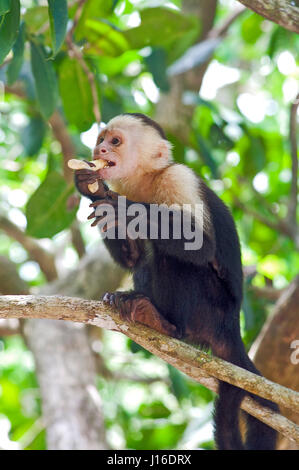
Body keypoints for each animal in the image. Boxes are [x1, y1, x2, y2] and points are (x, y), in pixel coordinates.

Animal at [74, 112, 278, 450]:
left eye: (114, 141)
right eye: (101, 139)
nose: (99, 150)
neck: (146, 181)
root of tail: (231, 325)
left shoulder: (178, 179)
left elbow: (200, 245)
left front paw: (125, 209)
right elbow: (131, 258)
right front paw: (92, 189)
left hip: (211, 310)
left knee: (171, 257)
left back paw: (166, 324)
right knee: (146, 259)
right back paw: (135, 303)